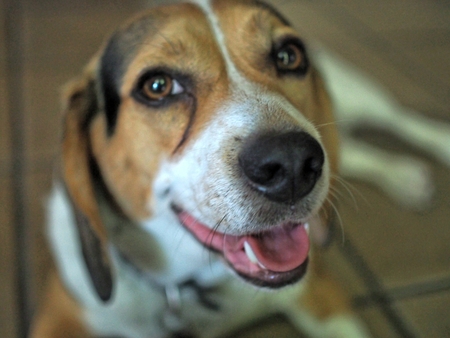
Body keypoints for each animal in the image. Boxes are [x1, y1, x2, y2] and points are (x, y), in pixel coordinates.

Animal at [30, 1, 370, 336]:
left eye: (288, 56)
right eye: (157, 86)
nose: (292, 161)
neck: (188, 286)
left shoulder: (322, 294)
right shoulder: (61, 317)